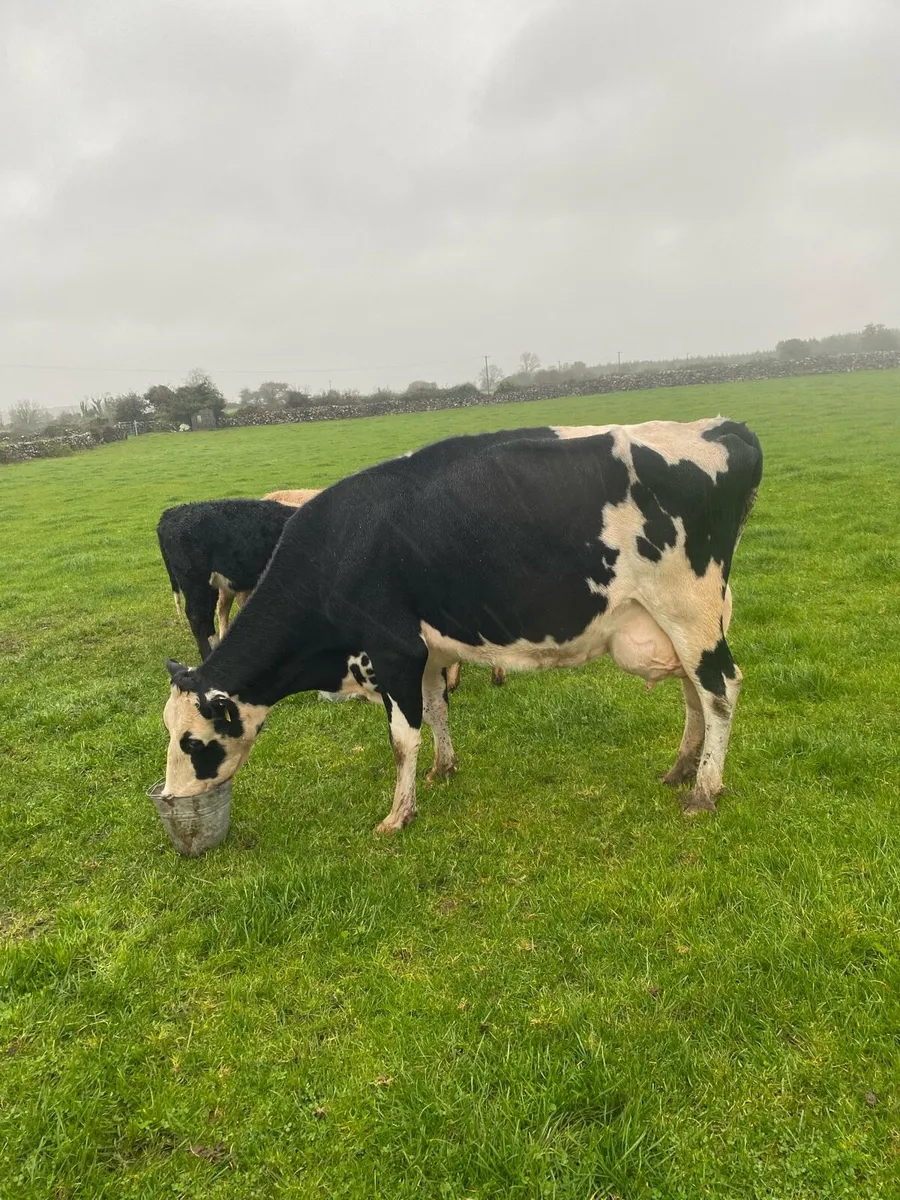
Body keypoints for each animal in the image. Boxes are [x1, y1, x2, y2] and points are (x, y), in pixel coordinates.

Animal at [159, 419, 762, 831]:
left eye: (191, 741)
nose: (171, 796)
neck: (337, 547)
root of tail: (720, 428)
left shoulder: (394, 651)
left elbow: (403, 739)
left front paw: (398, 814)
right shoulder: (427, 651)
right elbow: (435, 711)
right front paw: (443, 768)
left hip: (688, 609)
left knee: (720, 690)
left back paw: (704, 789)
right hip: (680, 623)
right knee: (694, 691)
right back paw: (682, 767)